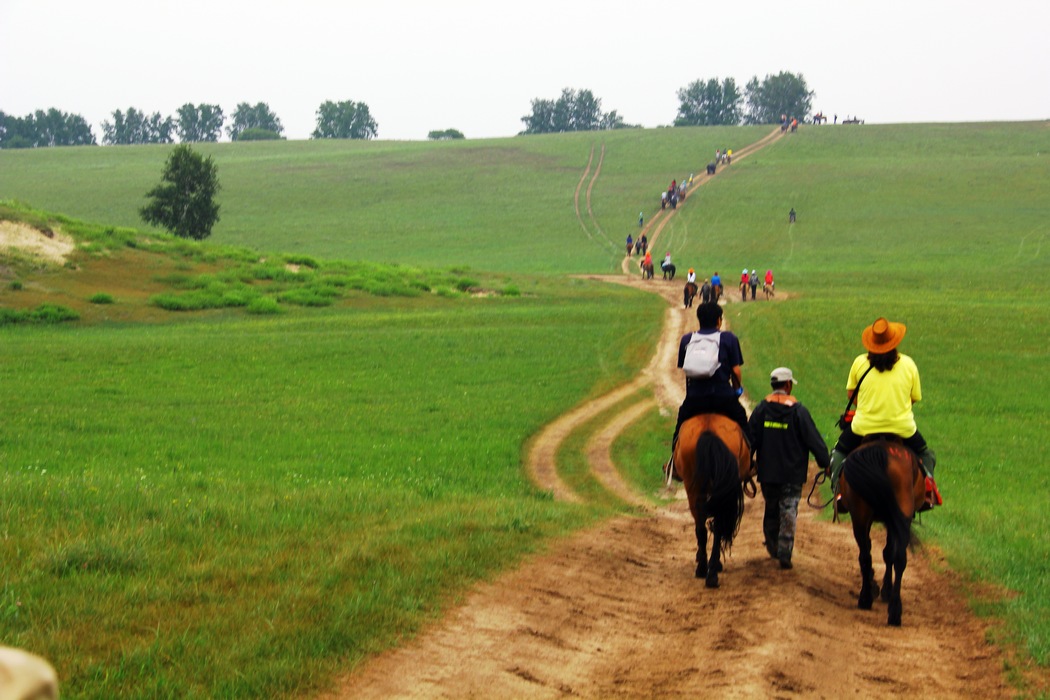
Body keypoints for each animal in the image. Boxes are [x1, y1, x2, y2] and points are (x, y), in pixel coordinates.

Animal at [672, 413, 755, 587]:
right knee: (714, 526)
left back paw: (705, 569)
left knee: (702, 526)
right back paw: (711, 570)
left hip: (693, 486)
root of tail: (709, 432)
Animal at [831, 440, 923, 625]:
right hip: (899, 512)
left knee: (866, 555)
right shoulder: (892, 518)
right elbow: (888, 552)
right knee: (898, 558)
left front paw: (878, 586)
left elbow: (880, 551)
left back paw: (866, 598)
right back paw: (894, 611)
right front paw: (884, 588)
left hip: (861, 515)